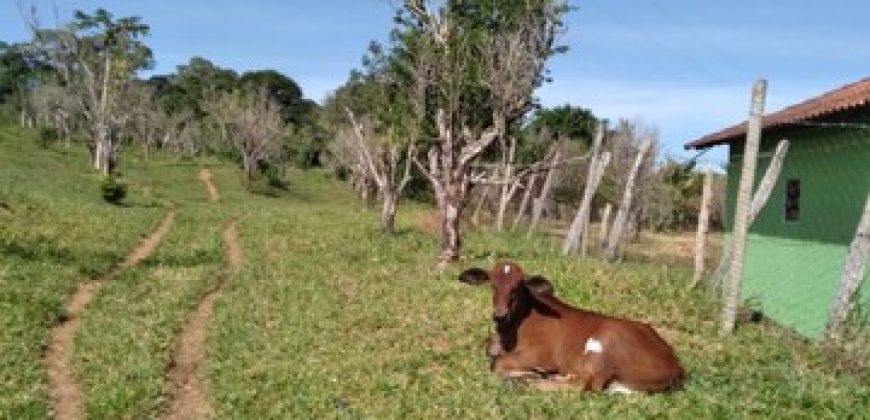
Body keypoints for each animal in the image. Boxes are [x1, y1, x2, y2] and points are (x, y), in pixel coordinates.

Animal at [464, 260, 688, 392]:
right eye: (492, 285)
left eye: (518, 287)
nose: (499, 315)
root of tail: (676, 364)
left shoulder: (543, 355)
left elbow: (498, 363)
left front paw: (526, 373)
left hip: (605, 344)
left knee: (584, 384)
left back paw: (528, 380)